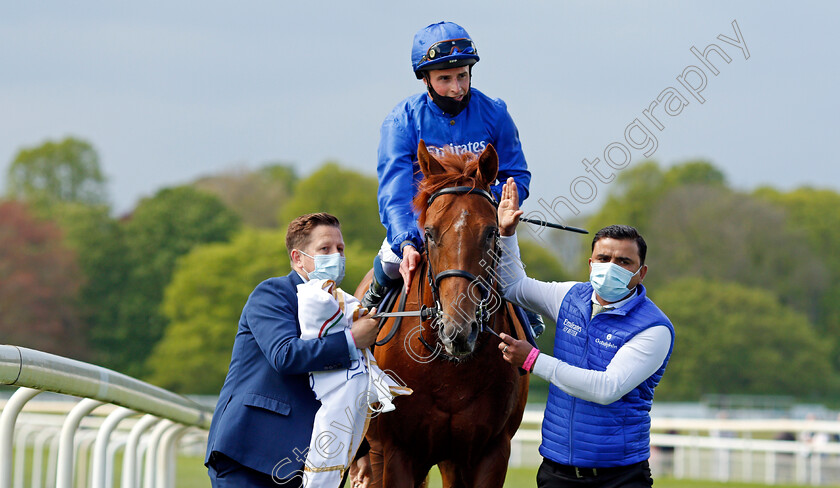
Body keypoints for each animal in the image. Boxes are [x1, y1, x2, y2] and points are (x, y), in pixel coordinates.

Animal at [356, 141, 532, 488]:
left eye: (491, 232)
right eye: (430, 232)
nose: (458, 331)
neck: (450, 370)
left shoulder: (490, 452)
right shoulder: (396, 453)